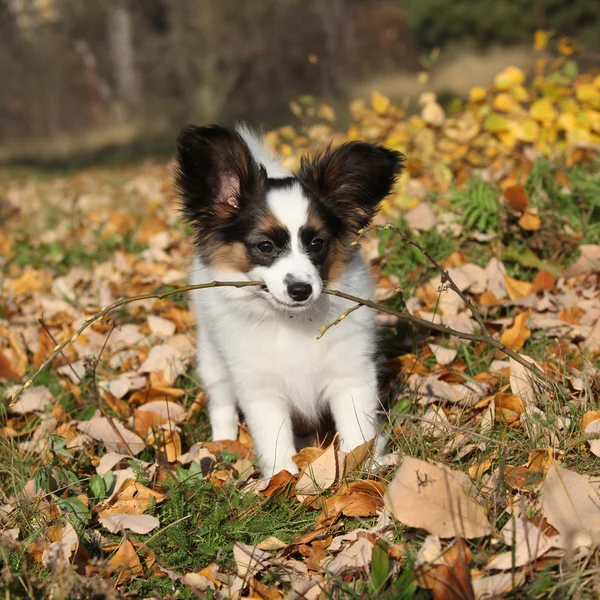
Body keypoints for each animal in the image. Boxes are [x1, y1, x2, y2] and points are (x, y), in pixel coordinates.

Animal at [176, 124, 406, 476]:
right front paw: (282, 480)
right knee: (221, 401)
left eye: (317, 243)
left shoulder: (352, 374)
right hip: (213, 358)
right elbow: (275, 442)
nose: (300, 290)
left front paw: (362, 469)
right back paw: (222, 443)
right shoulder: (261, 390)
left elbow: (357, 430)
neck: (292, 320)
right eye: (265, 246)